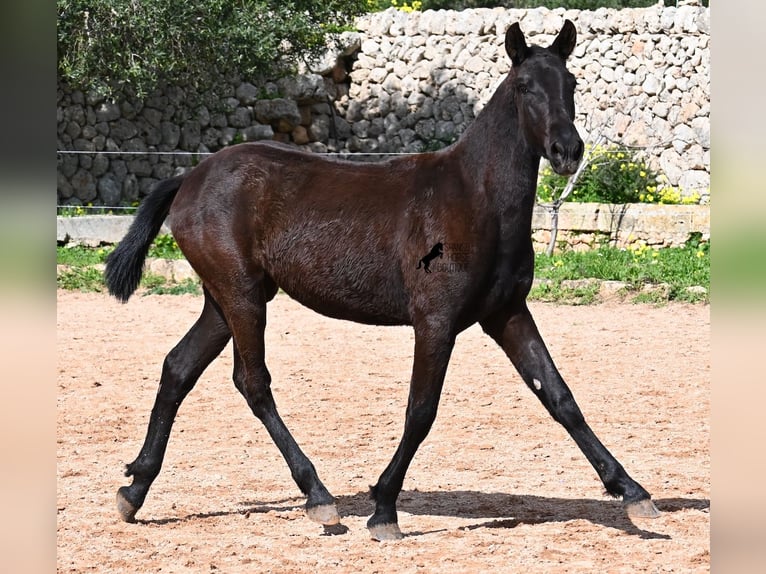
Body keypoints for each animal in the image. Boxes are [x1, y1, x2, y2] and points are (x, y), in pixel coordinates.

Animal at [105, 22, 664, 544]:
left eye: (571, 82)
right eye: (526, 85)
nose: (567, 150)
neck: (474, 199)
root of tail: (191, 178)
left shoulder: (505, 313)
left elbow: (560, 397)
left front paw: (633, 494)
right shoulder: (436, 321)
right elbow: (421, 411)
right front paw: (384, 509)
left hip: (225, 300)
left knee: (178, 369)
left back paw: (134, 490)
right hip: (241, 296)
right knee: (253, 383)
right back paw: (319, 498)